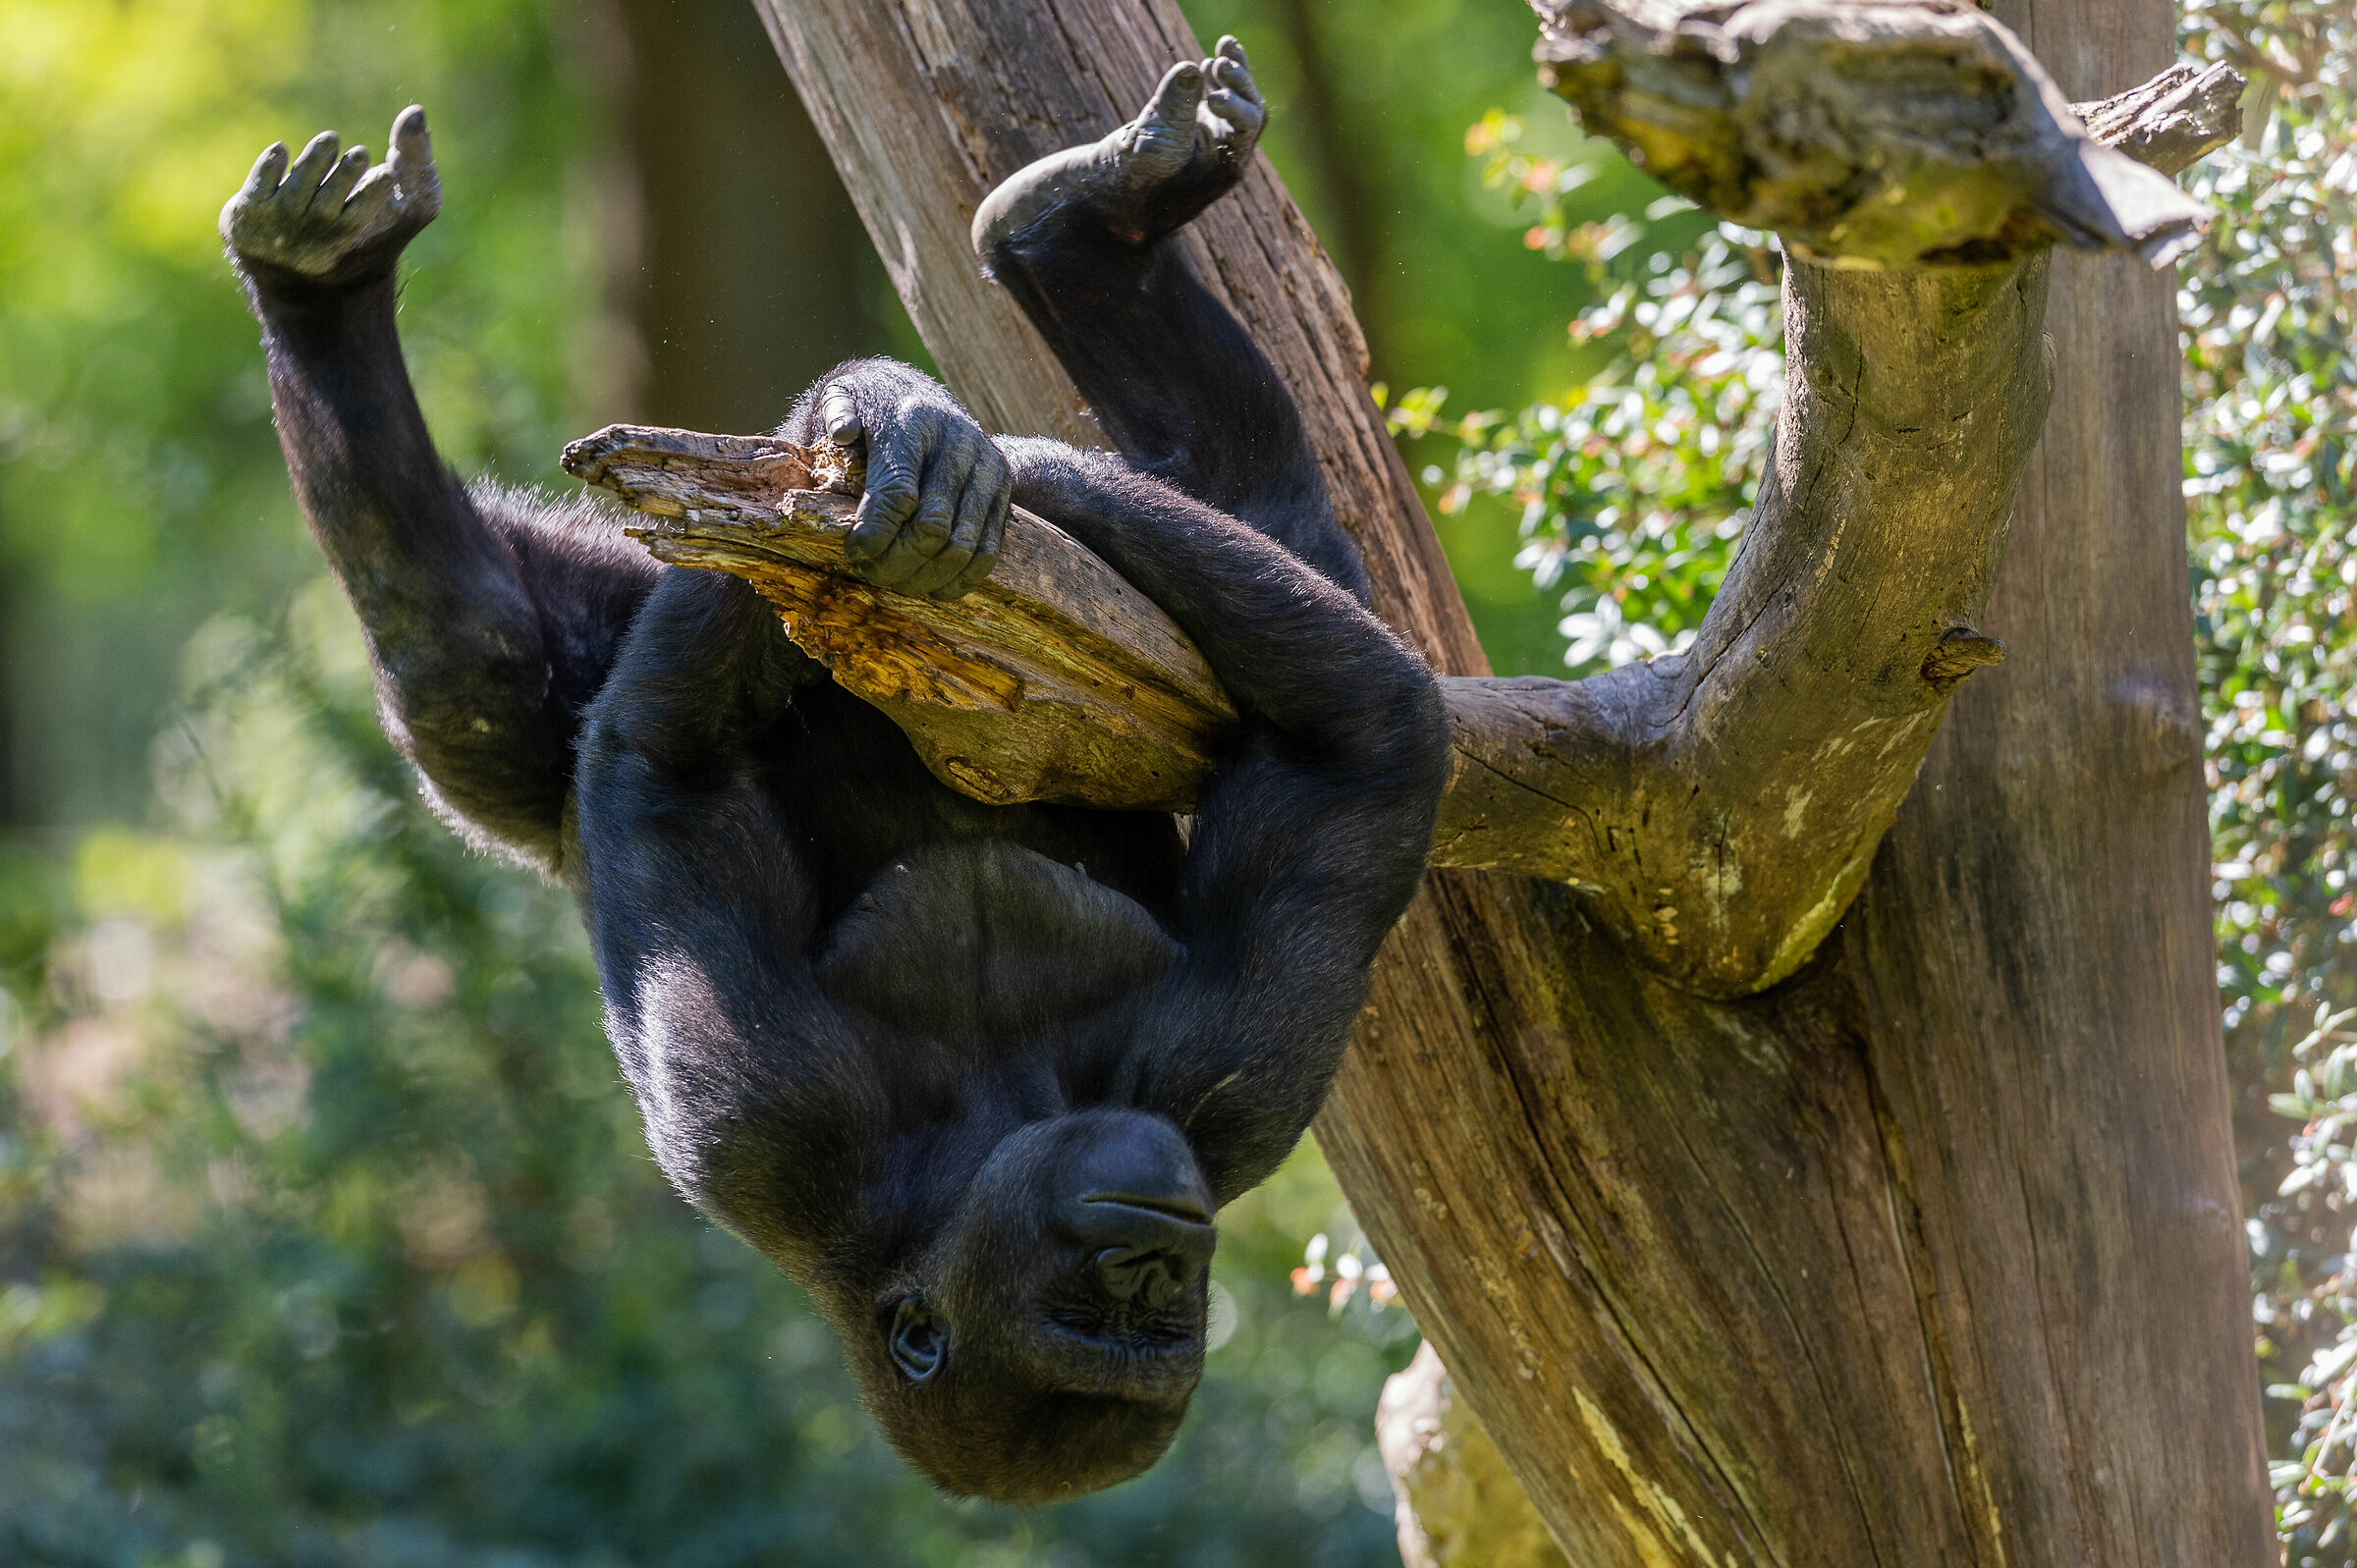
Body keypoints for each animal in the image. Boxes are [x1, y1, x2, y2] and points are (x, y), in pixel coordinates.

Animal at [222, 39, 1448, 1503]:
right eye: (1104, 1297)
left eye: (1161, 1308)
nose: (1158, 1252)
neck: (995, 1115)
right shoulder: (774, 1114)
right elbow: (665, 761)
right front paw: (899, 425)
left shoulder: (1227, 1080)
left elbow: (1369, 731)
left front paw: (989, 455)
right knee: (469, 661)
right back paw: (323, 294)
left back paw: (1084, 236)